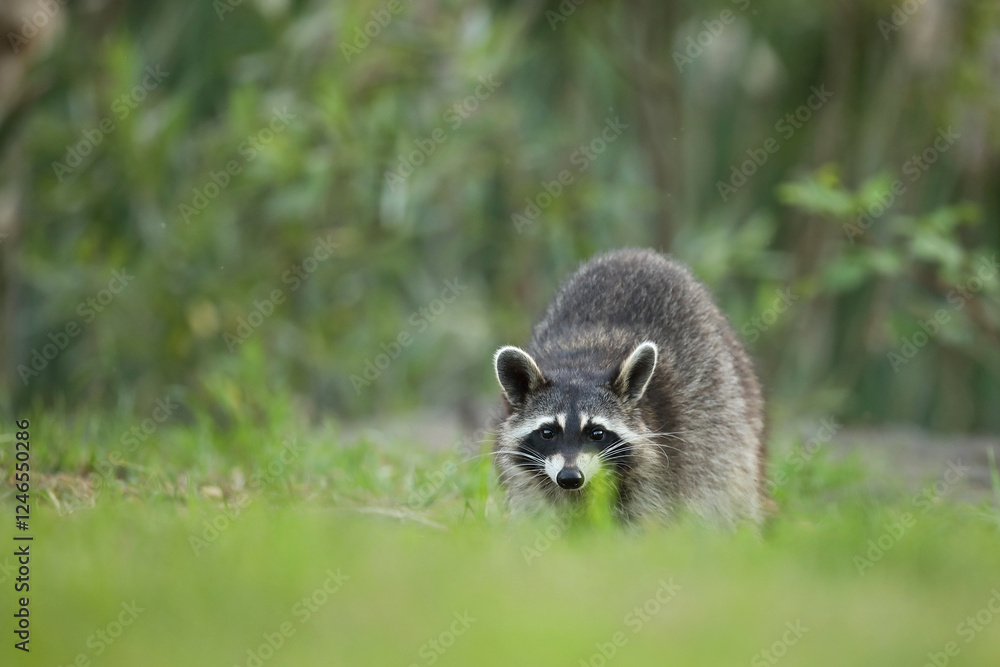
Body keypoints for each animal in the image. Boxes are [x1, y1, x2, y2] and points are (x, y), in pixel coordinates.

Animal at [492, 248, 769, 527]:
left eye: (597, 433)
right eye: (547, 432)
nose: (570, 477)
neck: (581, 364)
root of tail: (640, 254)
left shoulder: (662, 461)